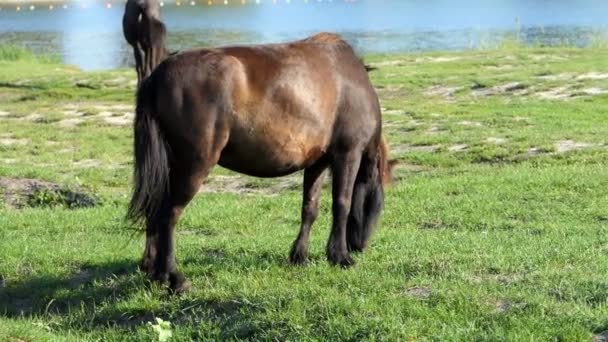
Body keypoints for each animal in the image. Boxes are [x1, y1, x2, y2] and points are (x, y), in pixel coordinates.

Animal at [126, 32, 396, 294]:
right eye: (379, 204)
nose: (361, 246)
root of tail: (157, 76)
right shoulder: (347, 153)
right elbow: (342, 204)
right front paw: (340, 256)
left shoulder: (317, 161)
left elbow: (310, 207)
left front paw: (300, 255)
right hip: (193, 166)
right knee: (168, 215)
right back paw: (175, 278)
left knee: (154, 211)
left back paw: (154, 271)